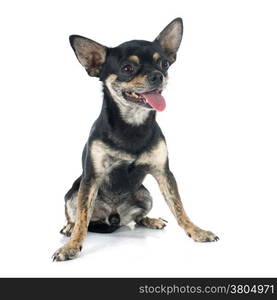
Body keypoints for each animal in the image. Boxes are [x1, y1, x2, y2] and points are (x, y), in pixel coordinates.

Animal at [52, 18, 218, 260]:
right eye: (127, 69)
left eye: (164, 64)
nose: (157, 75)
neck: (133, 124)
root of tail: (113, 216)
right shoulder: (91, 179)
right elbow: (83, 218)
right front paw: (72, 246)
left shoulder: (164, 174)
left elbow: (179, 207)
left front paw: (196, 231)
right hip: (74, 193)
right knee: (77, 216)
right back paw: (68, 227)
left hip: (145, 195)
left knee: (137, 218)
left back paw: (151, 220)